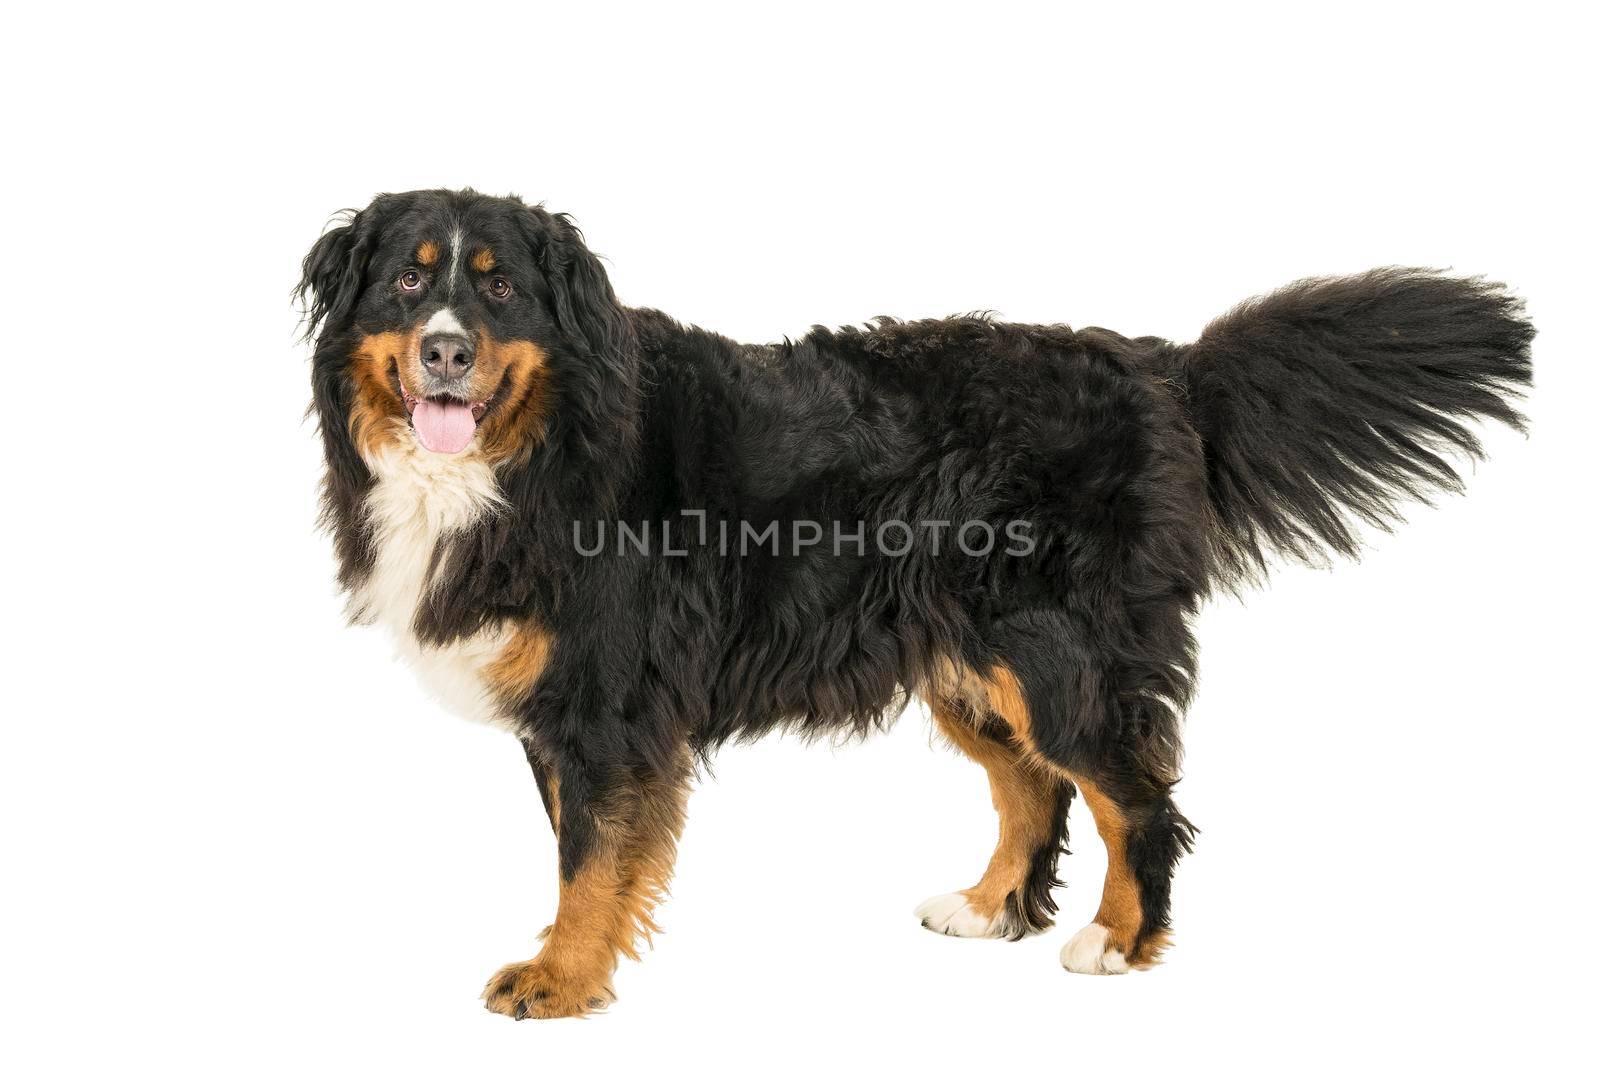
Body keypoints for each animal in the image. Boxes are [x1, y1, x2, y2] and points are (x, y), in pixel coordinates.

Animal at [300, 189, 1536, 1017]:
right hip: (973, 660)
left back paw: (1116, 940)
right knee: (1035, 789)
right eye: (407, 281)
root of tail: (1154, 366)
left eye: (499, 286)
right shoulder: (566, 715)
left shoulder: (609, 705)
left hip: (1059, 652)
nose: (445, 351)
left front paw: (560, 976)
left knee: (1136, 798)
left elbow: (590, 859)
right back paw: (990, 906)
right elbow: (579, 844)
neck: (537, 448)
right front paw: (572, 962)